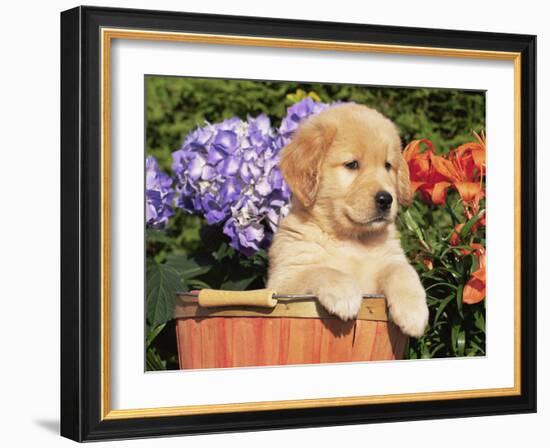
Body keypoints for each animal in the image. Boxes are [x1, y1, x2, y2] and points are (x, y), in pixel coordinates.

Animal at [268, 103, 432, 338]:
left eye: (388, 166)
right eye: (352, 164)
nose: (386, 199)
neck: (352, 239)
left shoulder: (391, 258)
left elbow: (403, 271)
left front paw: (414, 312)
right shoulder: (283, 280)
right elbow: (320, 270)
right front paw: (344, 294)